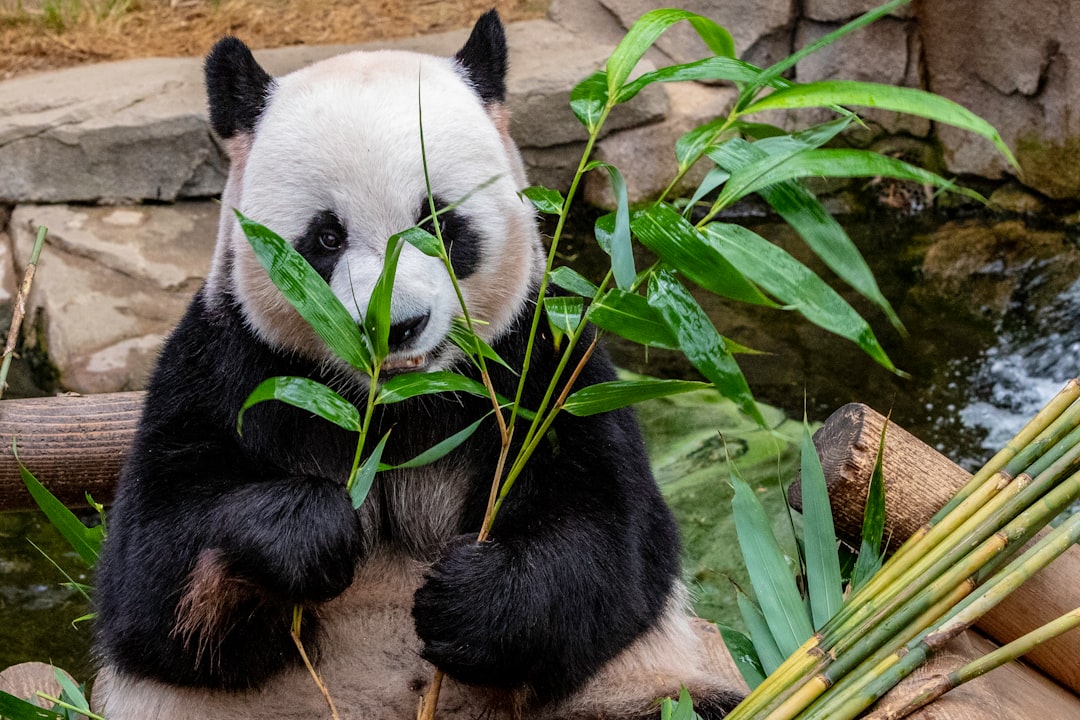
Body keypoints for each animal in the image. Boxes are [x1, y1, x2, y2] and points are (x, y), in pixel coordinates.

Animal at [92, 9, 747, 720]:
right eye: (326, 237)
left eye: (437, 221)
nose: (395, 326)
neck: (396, 404)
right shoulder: (228, 363)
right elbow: (151, 576)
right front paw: (310, 531)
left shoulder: (543, 364)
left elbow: (611, 541)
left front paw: (469, 601)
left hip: (628, 691)